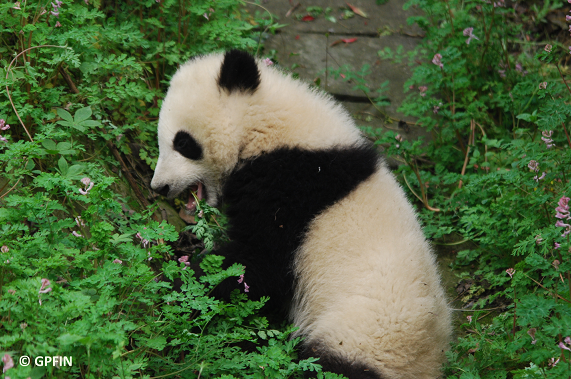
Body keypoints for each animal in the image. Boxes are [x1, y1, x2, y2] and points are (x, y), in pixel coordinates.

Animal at [151, 51, 452, 379]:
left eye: (182, 142)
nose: (159, 187)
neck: (265, 125)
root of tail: (431, 365)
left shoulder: (292, 186)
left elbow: (256, 262)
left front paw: (172, 280)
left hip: (369, 335)